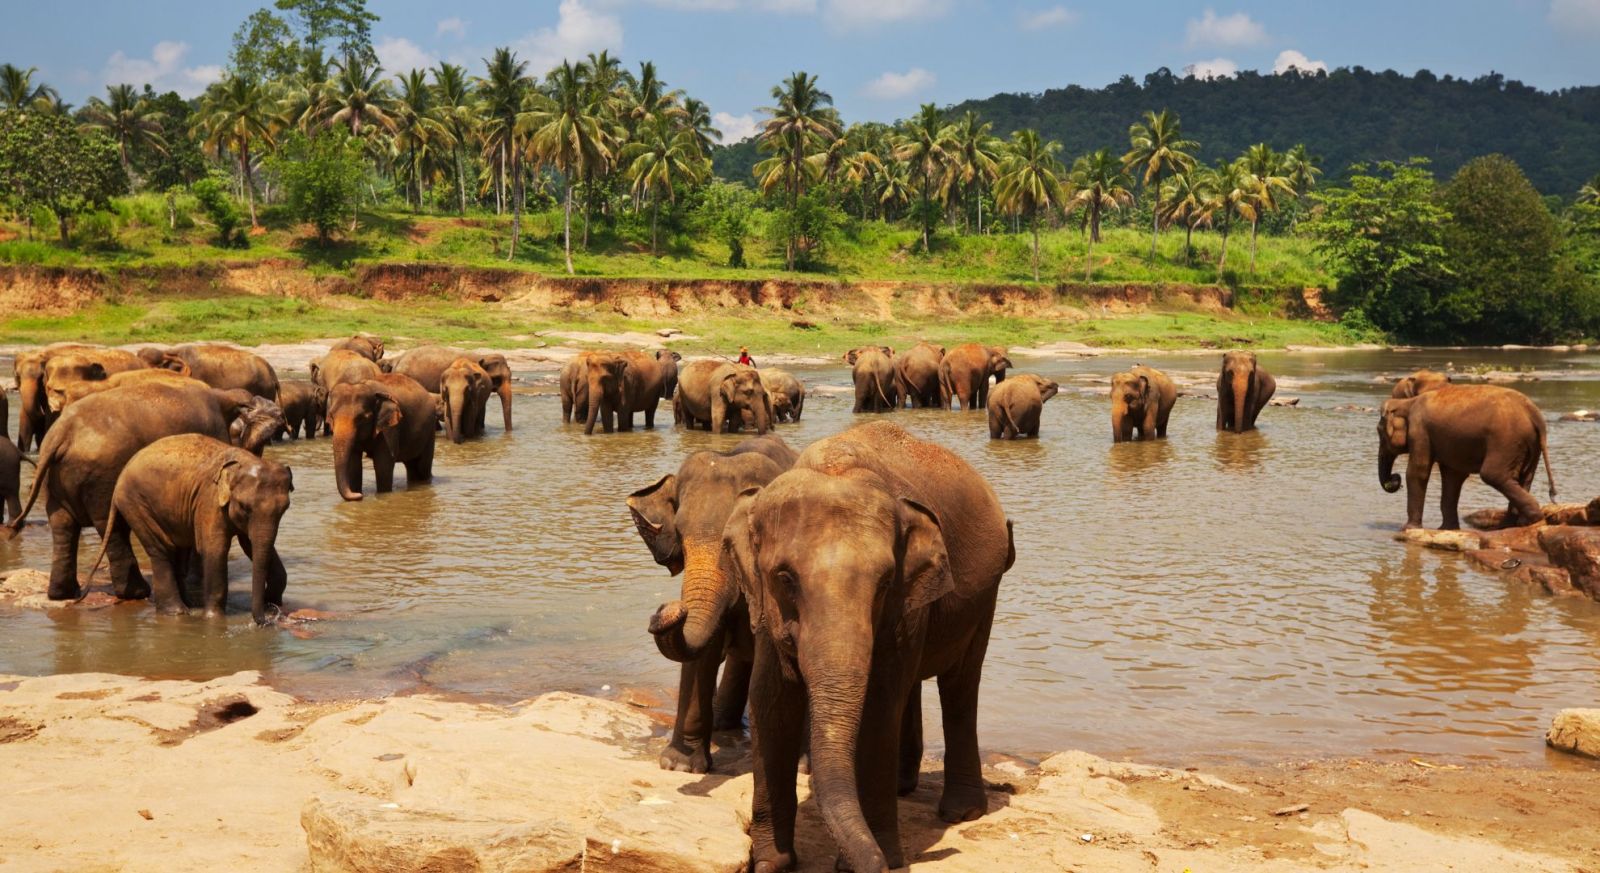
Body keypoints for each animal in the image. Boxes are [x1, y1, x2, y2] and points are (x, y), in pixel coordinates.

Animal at [3, 379, 282, 601]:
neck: (222, 395)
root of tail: (61, 433)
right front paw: (192, 580)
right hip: (102, 475)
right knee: (111, 526)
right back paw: (135, 593)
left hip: (56, 478)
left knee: (63, 525)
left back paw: (62, 594)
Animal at [85, 434, 293, 624]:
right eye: (244, 506)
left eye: (285, 508)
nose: (264, 621)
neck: (244, 461)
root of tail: (120, 476)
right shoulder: (209, 502)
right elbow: (215, 550)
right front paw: (213, 619)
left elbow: (250, 544)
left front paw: (272, 602)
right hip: (135, 504)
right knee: (161, 550)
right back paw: (177, 613)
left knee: (177, 551)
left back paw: (188, 605)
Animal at [629, 435, 799, 773]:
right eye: (679, 534)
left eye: (732, 542)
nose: (667, 607)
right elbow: (702, 652)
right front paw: (679, 765)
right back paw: (723, 726)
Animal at [727, 421, 1014, 873]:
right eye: (785, 578)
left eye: (884, 582)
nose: (867, 862)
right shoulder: (764, 607)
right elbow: (771, 701)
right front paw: (772, 862)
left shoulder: (906, 602)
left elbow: (879, 706)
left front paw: (884, 857)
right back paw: (904, 787)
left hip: (986, 595)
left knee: (960, 686)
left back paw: (961, 812)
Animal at [1378, 384, 1557, 531]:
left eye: (1380, 433)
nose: (1394, 479)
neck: (1407, 403)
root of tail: (1533, 412)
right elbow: (1452, 477)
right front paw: (1446, 529)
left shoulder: (1420, 431)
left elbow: (1417, 472)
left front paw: (1407, 529)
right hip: (1530, 444)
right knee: (1524, 478)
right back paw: (1512, 524)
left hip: (1507, 441)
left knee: (1493, 475)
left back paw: (1529, 520)